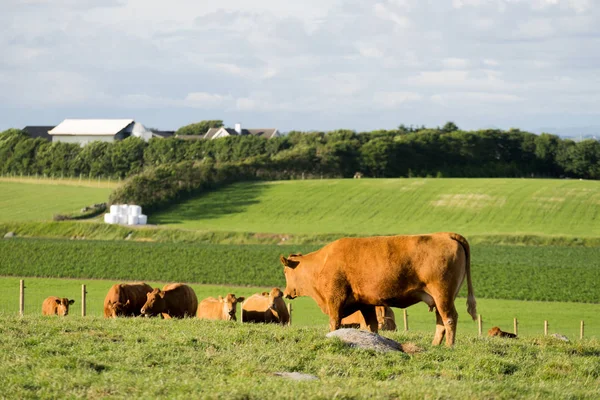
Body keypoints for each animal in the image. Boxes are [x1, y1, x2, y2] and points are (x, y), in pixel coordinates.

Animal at [278, 233, 476, 346]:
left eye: (285, 271)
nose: (286, 293)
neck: (321, 263)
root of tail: (444, 235)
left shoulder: (335, 300)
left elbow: (334, 323)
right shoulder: (365, 303)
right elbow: (371, 326)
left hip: (443, 295)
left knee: (449, 319)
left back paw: (449, 347)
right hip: (439, 298)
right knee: (440, 320)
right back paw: (435, 346)